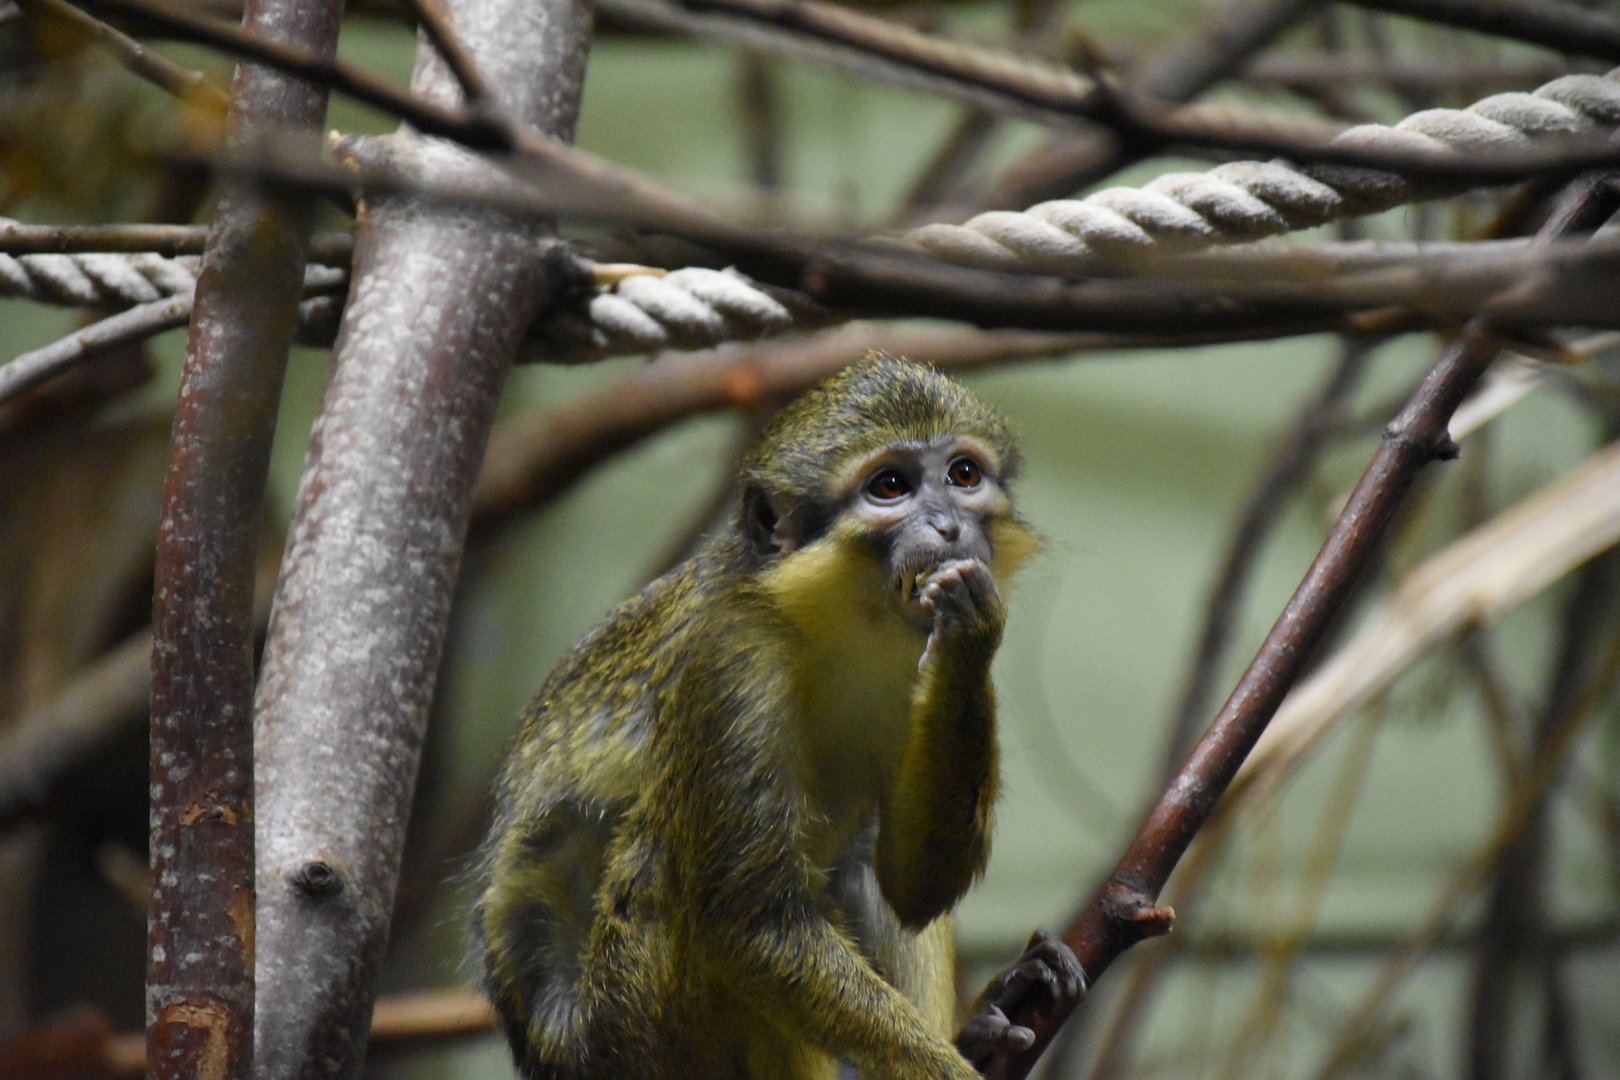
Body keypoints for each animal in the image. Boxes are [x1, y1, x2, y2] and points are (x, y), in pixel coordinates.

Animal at [473, 353, 1081, 1080]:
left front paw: (971, 633)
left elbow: (915, 883)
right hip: (627, 1027)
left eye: (964, 475)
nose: (947, 526)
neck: (841, 619)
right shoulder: (734, 655)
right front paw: (950, 1073)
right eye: (891, 487)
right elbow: (750, 922)